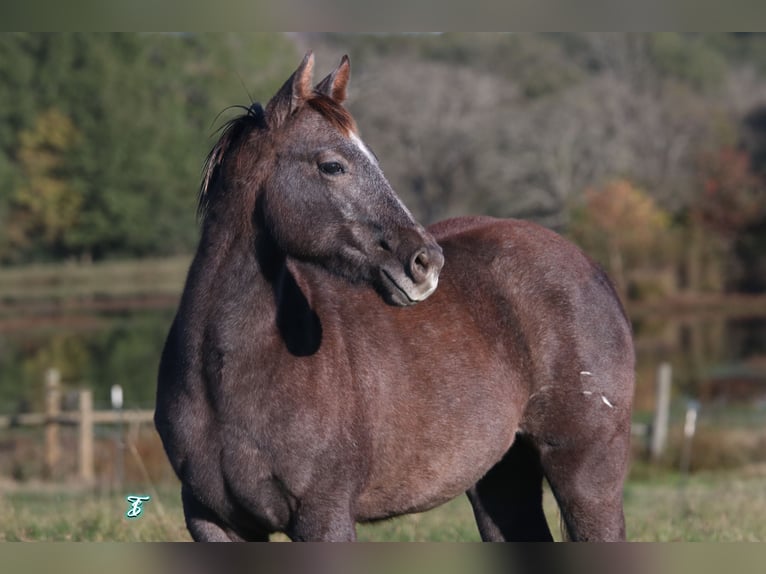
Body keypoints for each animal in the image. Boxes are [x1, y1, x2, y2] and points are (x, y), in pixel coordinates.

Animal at [156, 54, 636, 544]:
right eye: (332, 165)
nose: (426, 262)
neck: (226, 376)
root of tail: (592, 268)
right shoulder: (213, 521)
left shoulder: (323, 516)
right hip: (500, 478)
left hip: (585, 475)